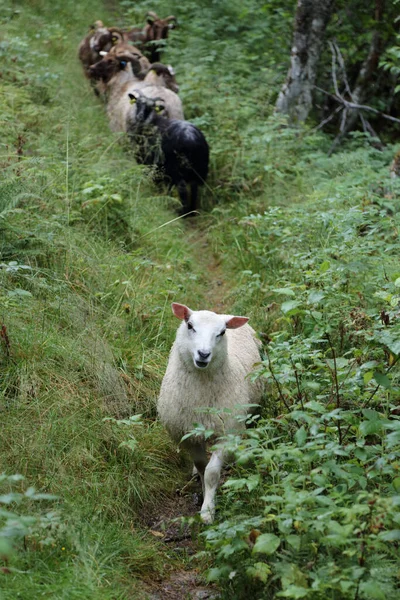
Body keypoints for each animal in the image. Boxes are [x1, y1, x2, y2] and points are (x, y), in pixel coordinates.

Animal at [158, 302, 264, 524]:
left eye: (221, 332)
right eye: (190, 325)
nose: (204, 354)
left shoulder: (227, 433)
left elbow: (211, 473)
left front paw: (208, 511)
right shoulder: (189, 435)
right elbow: (201, 466)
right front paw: (204, 492)